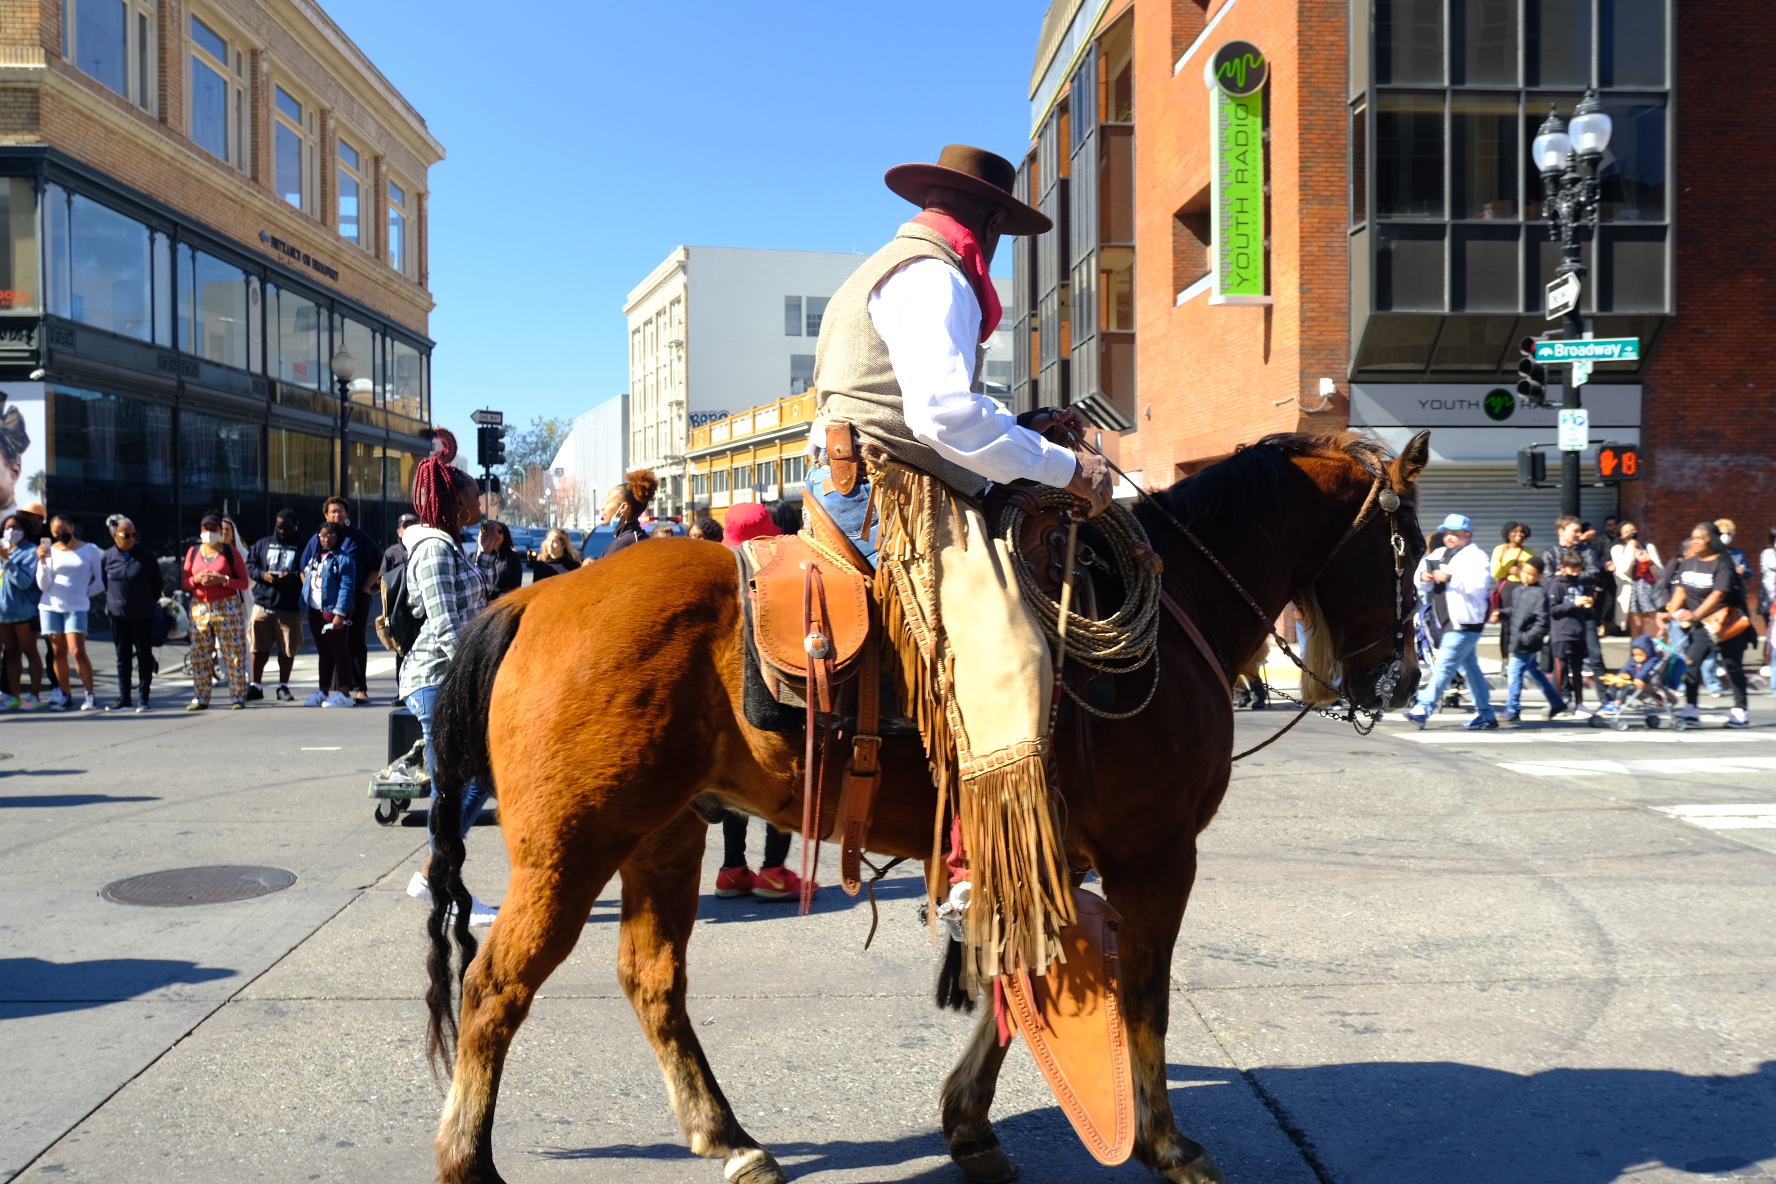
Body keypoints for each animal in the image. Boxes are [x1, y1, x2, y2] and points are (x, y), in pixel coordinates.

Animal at [415, 427, 1427, 1184]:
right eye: (1408, 548)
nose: (1404, 679)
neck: (1176, 618)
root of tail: (538, 598)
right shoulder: (1157, 853)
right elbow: (1144, 994)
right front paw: (1165, 1143)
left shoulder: (1041, 851)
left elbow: (1013, 989)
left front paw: (969, 1120)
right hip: (571, 849)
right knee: (494, 987)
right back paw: (469, 1160)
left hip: (664, 834)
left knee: (651, 980)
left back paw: (728, 1137)